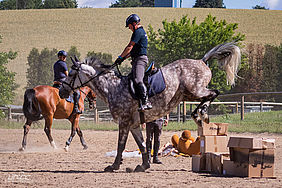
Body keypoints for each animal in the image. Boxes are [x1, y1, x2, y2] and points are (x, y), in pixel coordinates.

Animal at [59, 42, 240, 172]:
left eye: (71, 74)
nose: (61, 92)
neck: (112, 87)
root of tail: (201, 61)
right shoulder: (133, 124)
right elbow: (142, 145)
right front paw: (143, 165)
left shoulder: (124, 122)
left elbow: (121, 145)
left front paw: (114, 166)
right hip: (188, 94)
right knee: (209, 96)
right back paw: (199, 114)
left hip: (195, 90)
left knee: (213, 93)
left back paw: (200, 114)